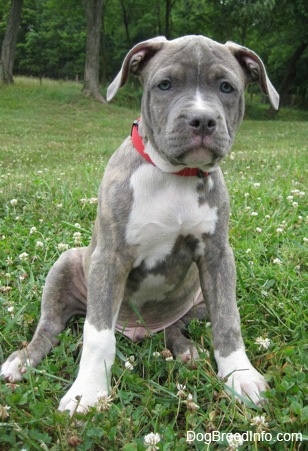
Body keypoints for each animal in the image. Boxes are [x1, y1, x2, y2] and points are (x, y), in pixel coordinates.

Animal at [0, 36, 280, 416]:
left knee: (177, 325)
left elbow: (228, 320)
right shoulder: (110, 257)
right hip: (65, 265)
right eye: (164, 85)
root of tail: (138, 332)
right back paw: (23, 360)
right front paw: (87, 391)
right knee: (50, 326)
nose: (202, 120)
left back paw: (184, 349)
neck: (174, 175)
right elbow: (97, 335)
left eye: (226, 87)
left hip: (196, 295)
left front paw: (240, 375)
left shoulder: (218, 257)